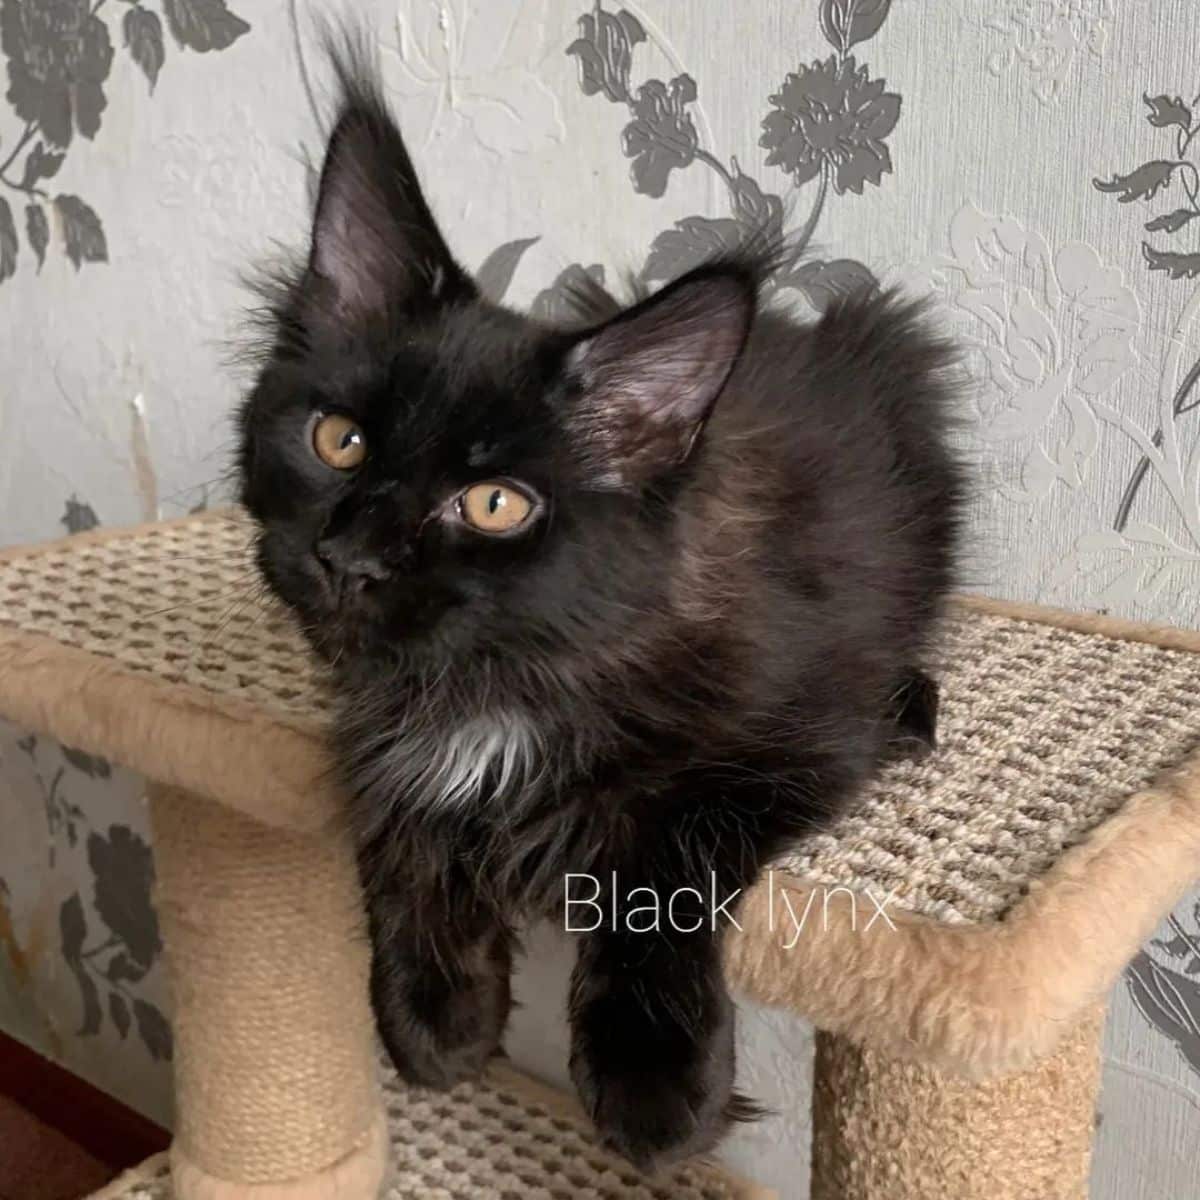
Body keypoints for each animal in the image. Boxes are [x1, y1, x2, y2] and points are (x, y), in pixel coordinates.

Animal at [236, 54, 964, 1171]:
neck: (498, 683)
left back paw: (918, 705)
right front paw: (434, 1020)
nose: (348, 559)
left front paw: (653, 1085)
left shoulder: (792, 738)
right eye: (338, 441)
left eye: (495, 505)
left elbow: (658, 856)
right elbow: (401, 825)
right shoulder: (375, 731)